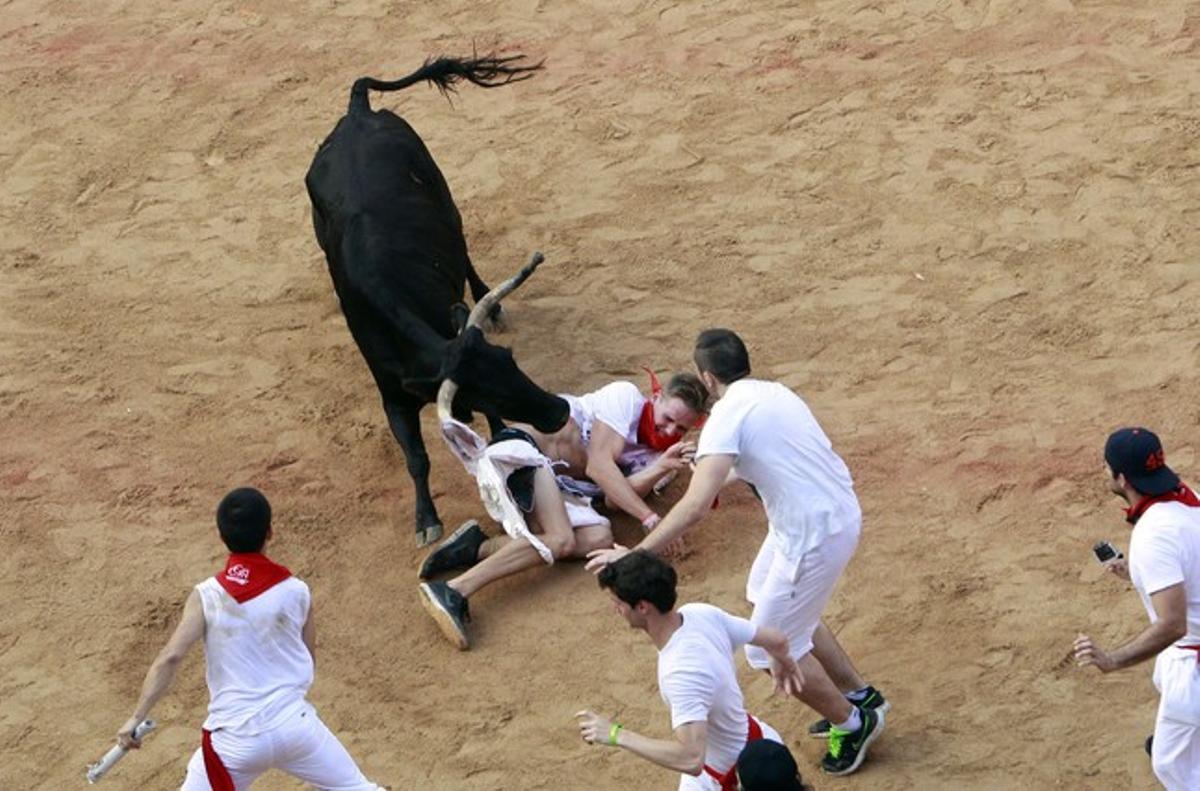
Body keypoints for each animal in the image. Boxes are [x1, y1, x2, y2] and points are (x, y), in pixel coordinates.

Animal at [309, 55, 571, 547]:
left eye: (511, 360)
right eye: (488, 387)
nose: (560, 410)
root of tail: (358, 112)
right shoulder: (393, 397)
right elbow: (416, 457)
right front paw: (426, 520)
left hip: (444, 198)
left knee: (465, 250)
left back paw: (495, 303)